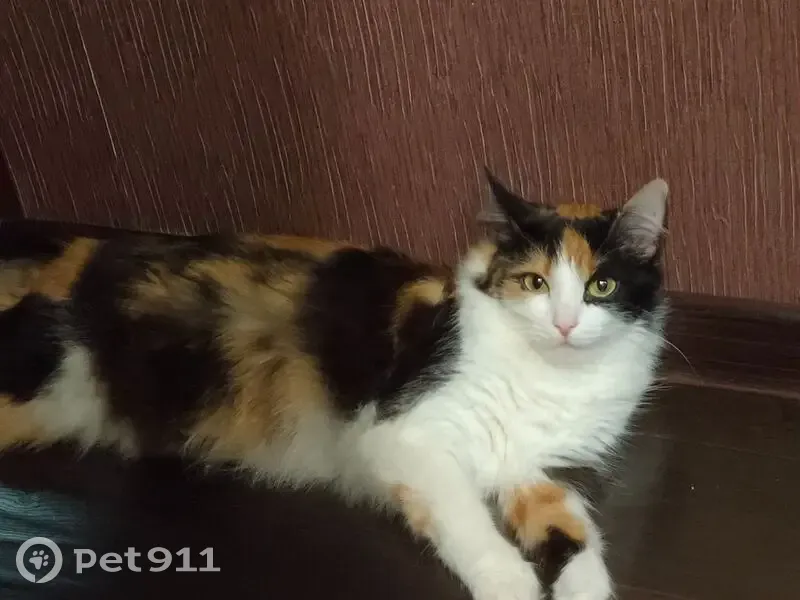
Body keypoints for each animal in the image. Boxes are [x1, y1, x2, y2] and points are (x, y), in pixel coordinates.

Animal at [0, 171, 668, 600]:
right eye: (534, 283)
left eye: (601, 286)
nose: (565, 324)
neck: (549, 379)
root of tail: (71, 254)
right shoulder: (404, 436)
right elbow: (467, 520)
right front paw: (510, 583)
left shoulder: (539, 470)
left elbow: (574, 537)